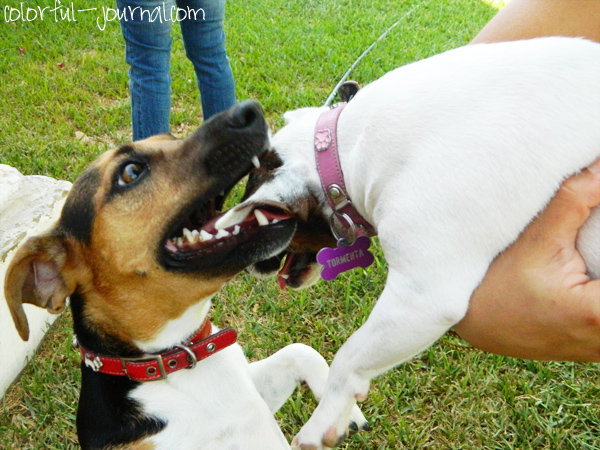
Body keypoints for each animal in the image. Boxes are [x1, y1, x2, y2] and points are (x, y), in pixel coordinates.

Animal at [3, 101, 366, 450]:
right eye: (130, 172)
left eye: (170, 138)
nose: (251, 109)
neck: (178, 360)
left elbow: (300, 350)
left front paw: (339, 410)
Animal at [214, 38, 600, 449]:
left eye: (260, 220)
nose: (248, 268)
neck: (346, 152)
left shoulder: (422, 298)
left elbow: (348, 356)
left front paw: (324, 422)